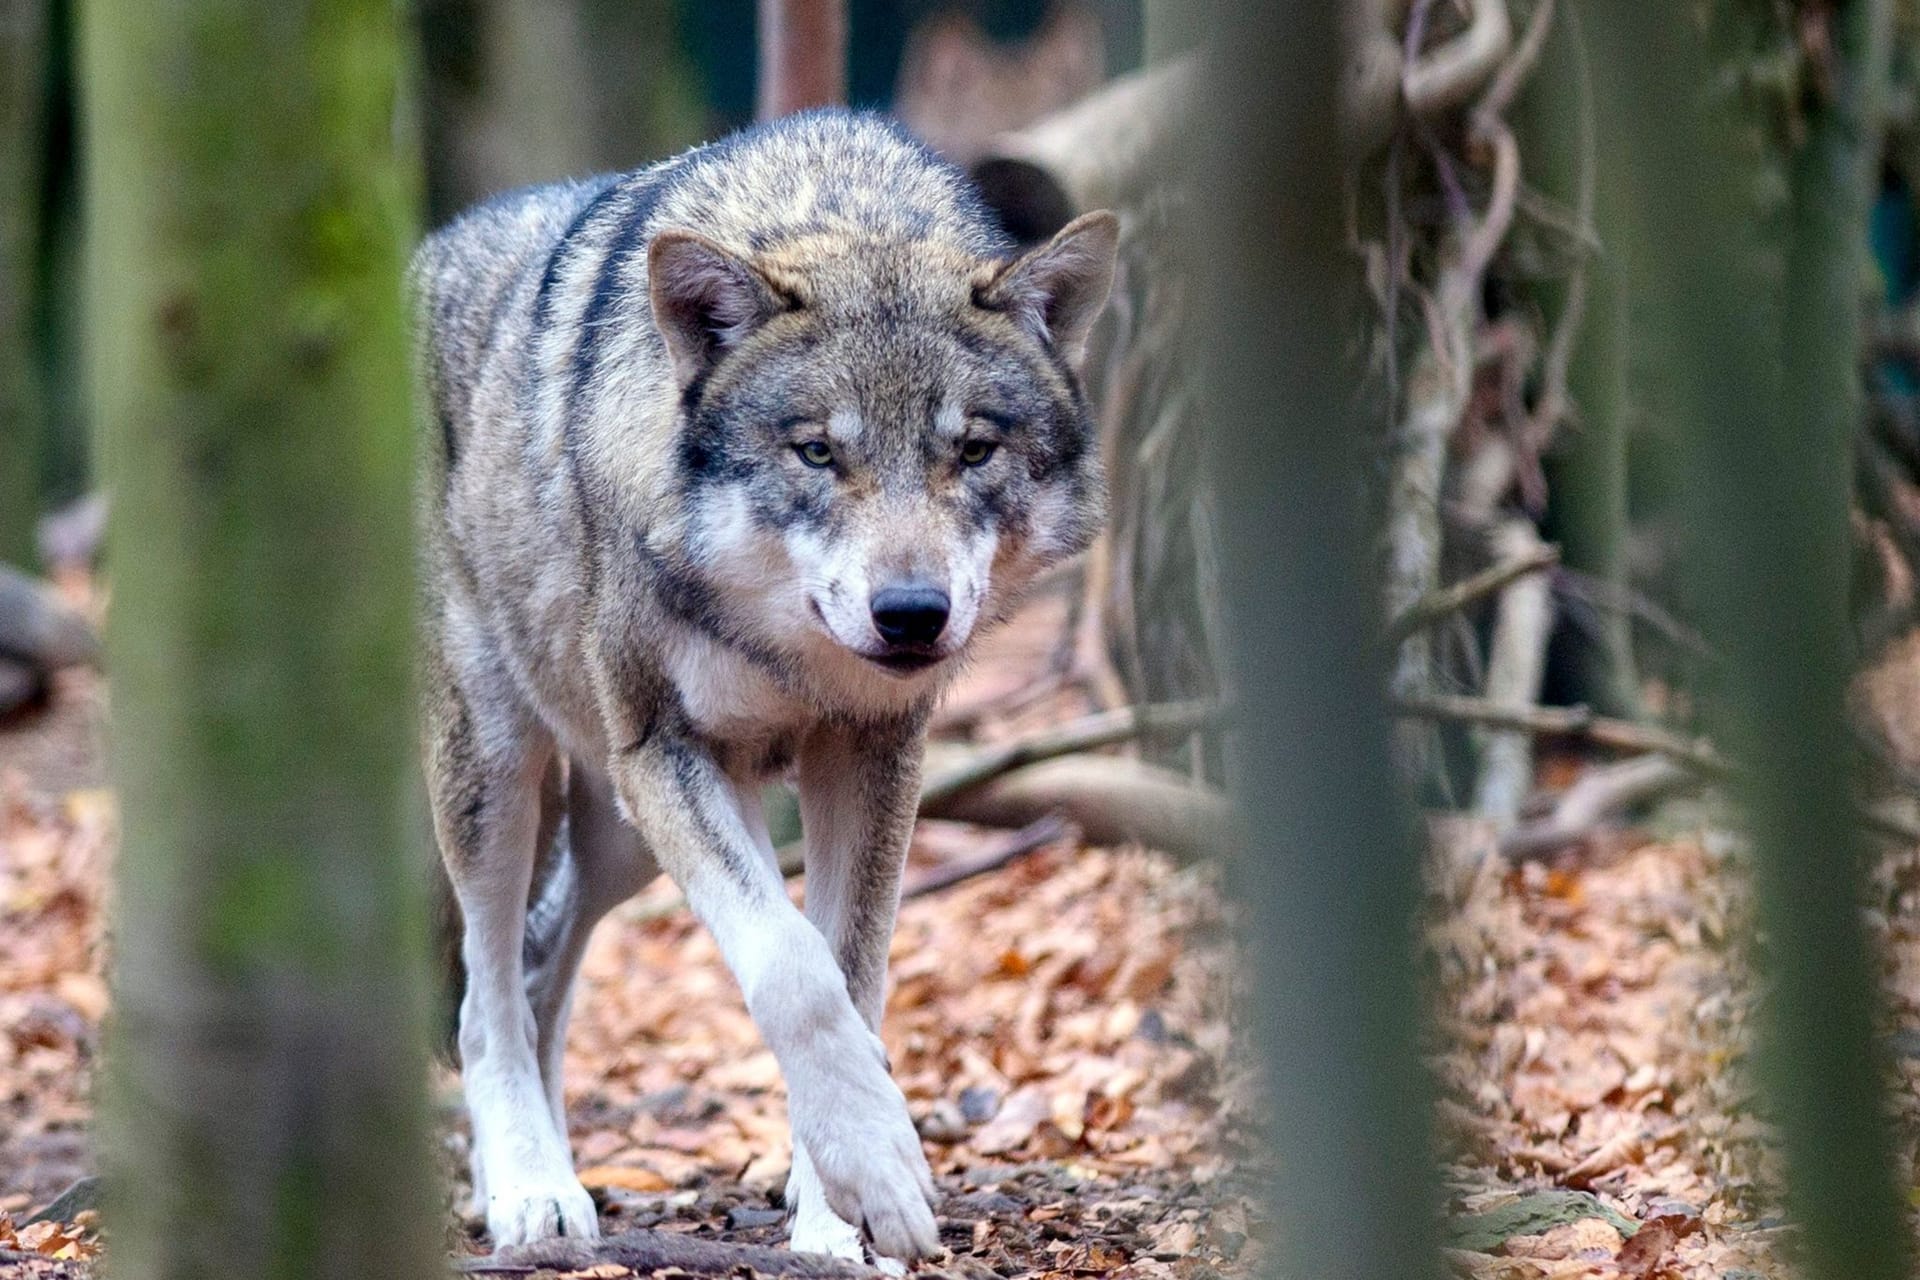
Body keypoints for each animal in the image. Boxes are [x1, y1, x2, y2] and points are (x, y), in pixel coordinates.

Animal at [412, 112, 1121, 1274]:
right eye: (819, 452)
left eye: (972, 450)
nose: (912, 613)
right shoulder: (670, 752)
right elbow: (792, 967)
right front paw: (877, 1173)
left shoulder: (874, 754)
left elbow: (849, 972)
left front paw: (839, 1213)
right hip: (506, 773)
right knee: (486, 989)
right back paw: (529, 1191)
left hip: (615, 834)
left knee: (543, 965)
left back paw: (548, 1174)